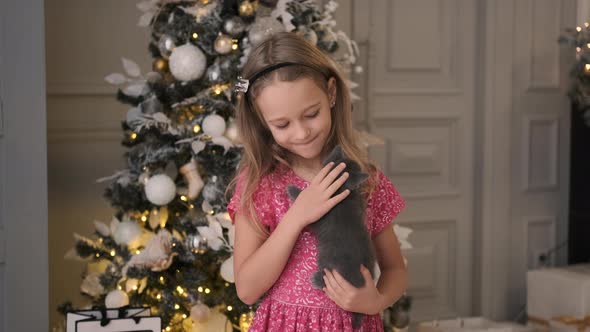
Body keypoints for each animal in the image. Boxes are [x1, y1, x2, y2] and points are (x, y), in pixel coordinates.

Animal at [288, 146, 376, 330]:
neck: (341, 193)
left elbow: (303, 199)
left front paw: (293, 190)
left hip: (329, 260)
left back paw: (316, 279)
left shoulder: (318, 216)